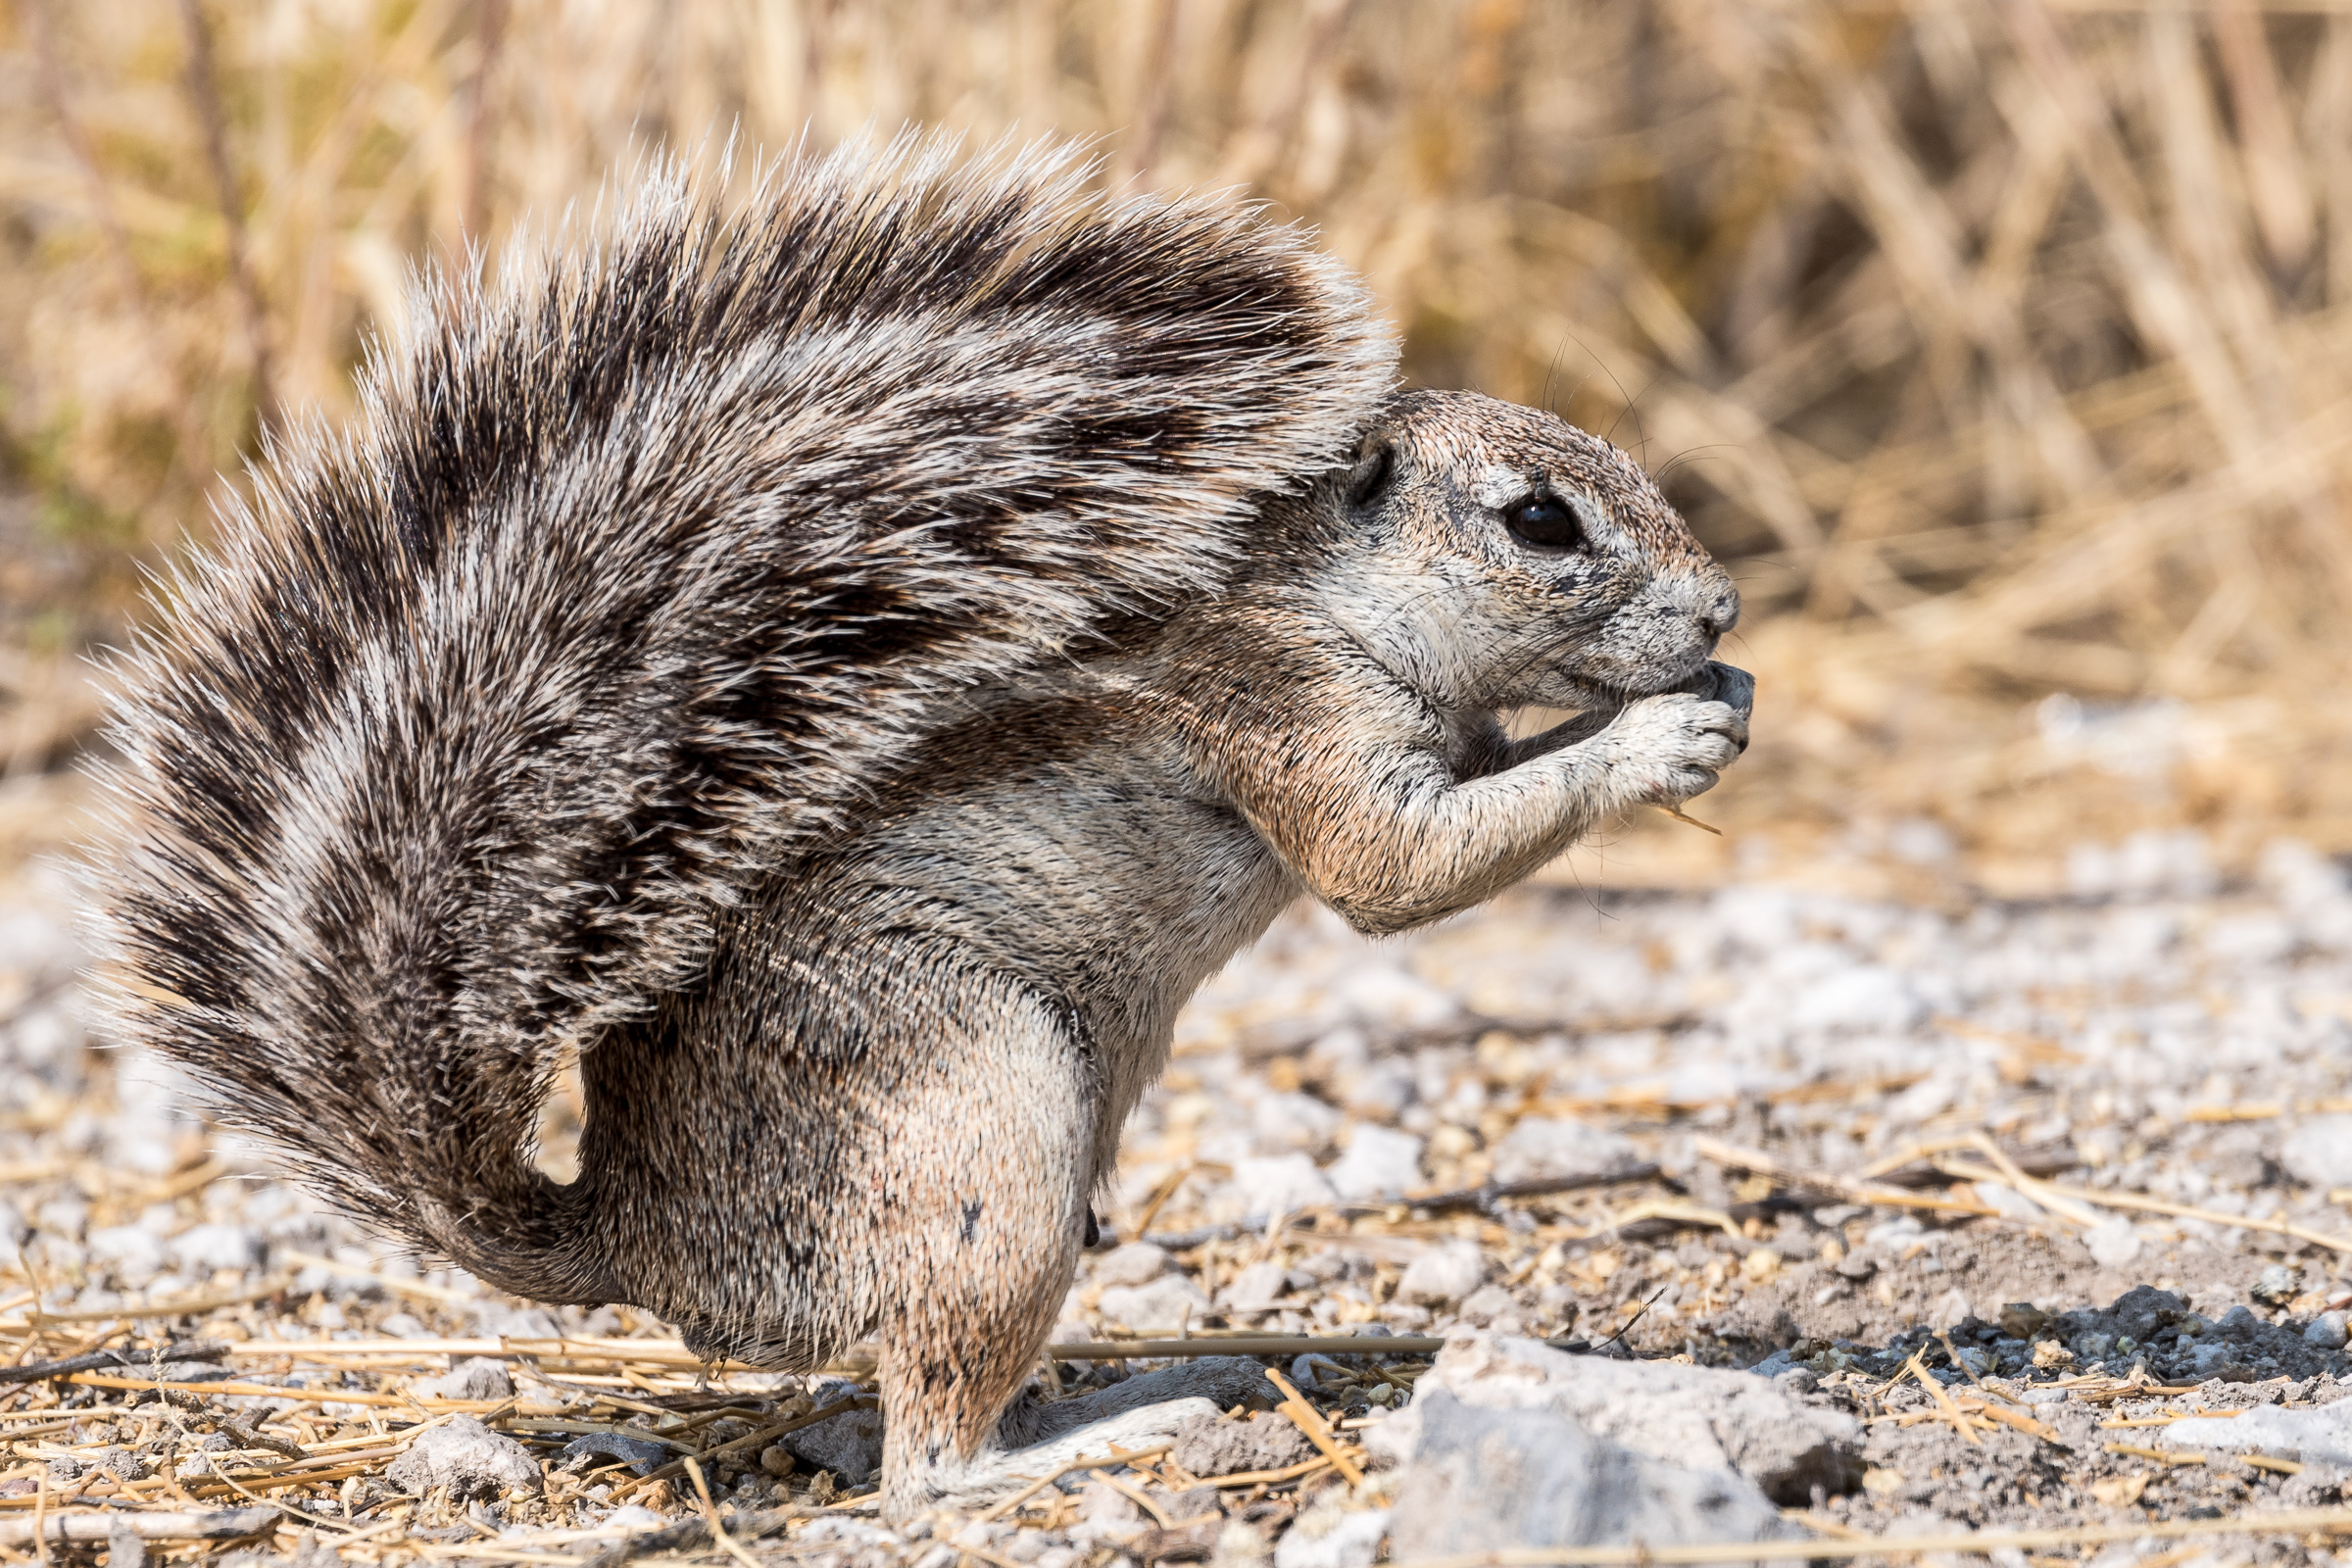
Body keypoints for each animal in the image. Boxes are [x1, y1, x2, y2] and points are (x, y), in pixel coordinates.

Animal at [91, 137, 1749, 1523]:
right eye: (1539, 520)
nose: (1726, 609)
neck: (1321, 588)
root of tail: (637, 1237)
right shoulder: (1277, 705)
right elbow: (1396, 872)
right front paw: (1658, 735)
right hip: (984, 1131)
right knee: (926, 1467)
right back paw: (1105, 1439)